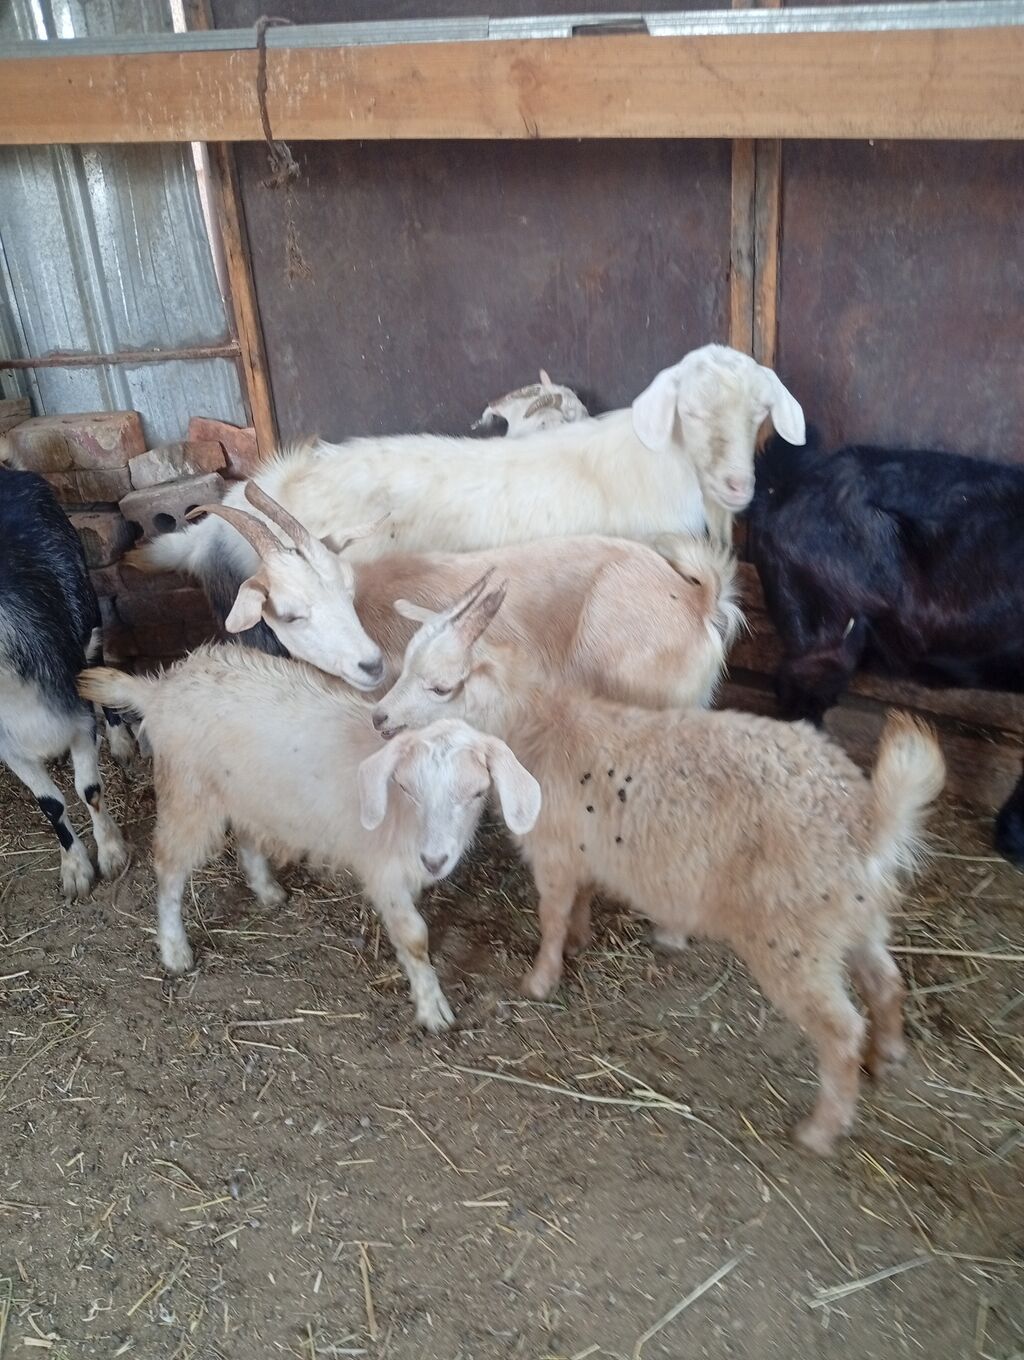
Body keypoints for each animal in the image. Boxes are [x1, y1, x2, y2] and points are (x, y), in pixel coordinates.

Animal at [0, 468, 128, 898]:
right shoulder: (9, 748)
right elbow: (50, 804)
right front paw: (74, 869)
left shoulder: (79, 720)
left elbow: (88, 789)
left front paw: (112, 854)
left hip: (87, 603)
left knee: (98, 656)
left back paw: (122, 741)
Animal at [79, 647, 539, 1032]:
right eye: (407, 787)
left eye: (477, 792)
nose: (435, 861)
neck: (402, 817)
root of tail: (159, 689)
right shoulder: (383, 870)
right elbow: (414, 937)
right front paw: (432, 1009)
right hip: (189, 795)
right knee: (169, 865)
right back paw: (175, 949)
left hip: (246, 790)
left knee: (247, 835)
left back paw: (266, 890)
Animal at [371, 575, 945, 1154]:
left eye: (441, 687)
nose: (380, 718)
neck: (541, 725)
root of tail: (869, 820)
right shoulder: (586, 851)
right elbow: (580, 902)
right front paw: (579, 942)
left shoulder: (555, 851)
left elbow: (551, 916)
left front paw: (540, 980)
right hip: (856, 917)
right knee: (886, 981)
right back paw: (887, 1058)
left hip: (794, 938)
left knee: (841, 1029)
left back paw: (820, 1129)